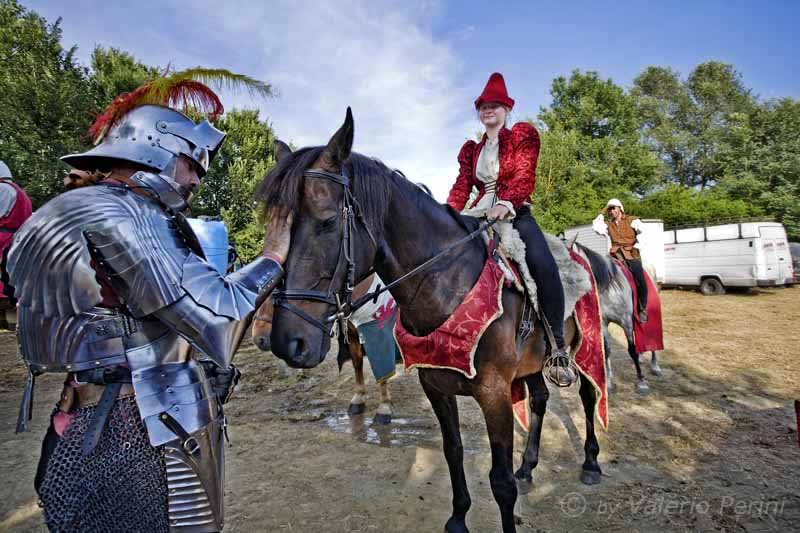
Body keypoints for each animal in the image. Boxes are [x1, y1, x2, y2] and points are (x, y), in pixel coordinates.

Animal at [252, 274, 396, 420]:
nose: (258, 339)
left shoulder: (377, 333)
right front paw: (359, 398)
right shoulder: (352, 335)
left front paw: (384, 406)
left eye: (273, 296)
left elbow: (381, 366)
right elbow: (357, 363)